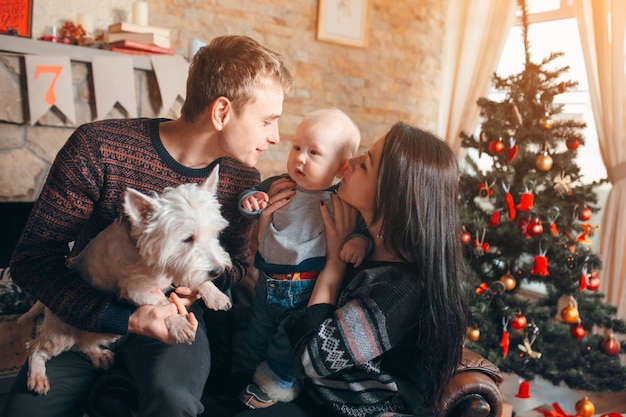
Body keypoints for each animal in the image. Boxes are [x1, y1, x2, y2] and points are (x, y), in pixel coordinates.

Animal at [21, 165, 234, 394]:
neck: (143, 251)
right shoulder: (135, 290)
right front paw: (178, 323)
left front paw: (215, 294)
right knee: (35, 348)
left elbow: (191, 278)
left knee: (82, 343)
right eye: (187, 239)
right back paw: (37, 377)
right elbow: (163, 303)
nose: (218, 270)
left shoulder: (176, 268)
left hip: (98, 334)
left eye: (215, 233)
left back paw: (99, 356)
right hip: (61, 334)